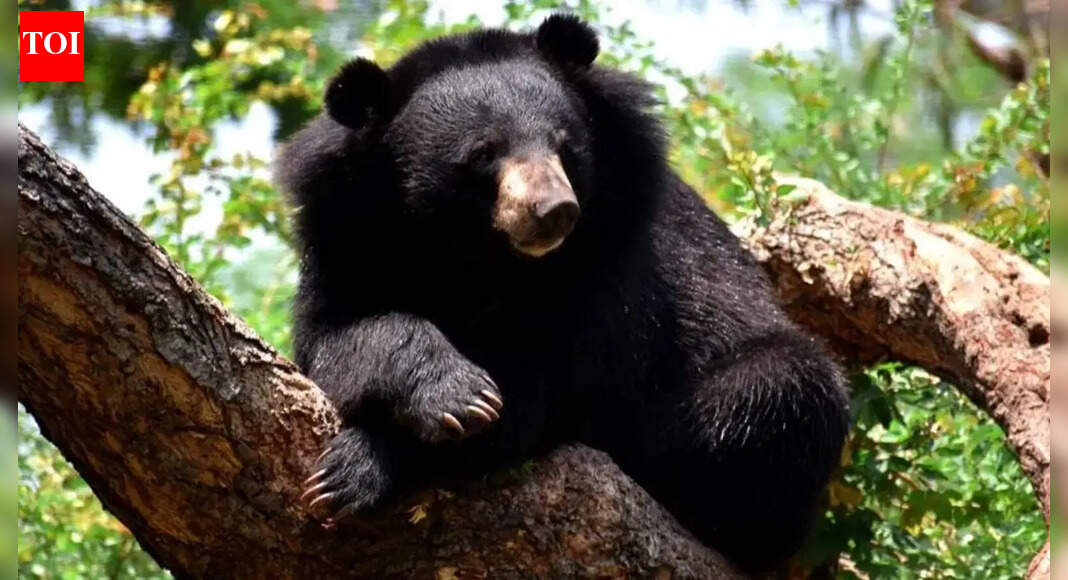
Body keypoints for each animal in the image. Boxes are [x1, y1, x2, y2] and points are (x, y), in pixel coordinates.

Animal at [276, 14, 850, 572]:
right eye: (483, 154)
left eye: (563, 145)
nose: (554, 211)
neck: (479, 256)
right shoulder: (346, 240)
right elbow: (336, 339)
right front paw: (454, 394)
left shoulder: (614, 264)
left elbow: (545, 386)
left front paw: (363, 464)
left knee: (780, 386)